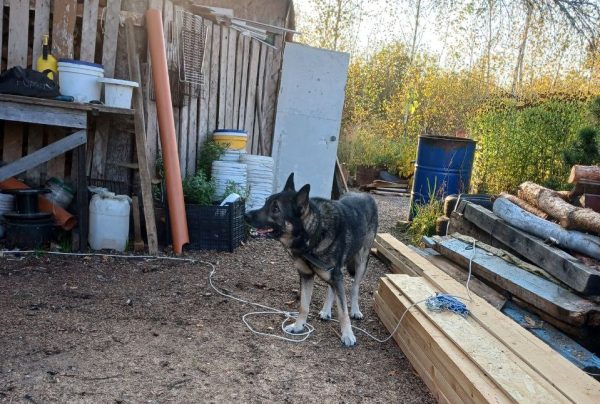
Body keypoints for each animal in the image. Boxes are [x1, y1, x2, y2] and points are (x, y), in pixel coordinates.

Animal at [243, 172, 376, 346]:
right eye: (266, 202)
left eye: (275, 209)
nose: (245, 215)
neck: (314, 233)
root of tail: (364, 195)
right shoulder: (307, 276)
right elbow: (304, 305)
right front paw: (299, 326)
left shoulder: (336, 275)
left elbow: (343, 310)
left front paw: (348, 334)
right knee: (331, 288)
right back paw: (326, 310)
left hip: (361, 262)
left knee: (354, 287)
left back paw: (355, 310)